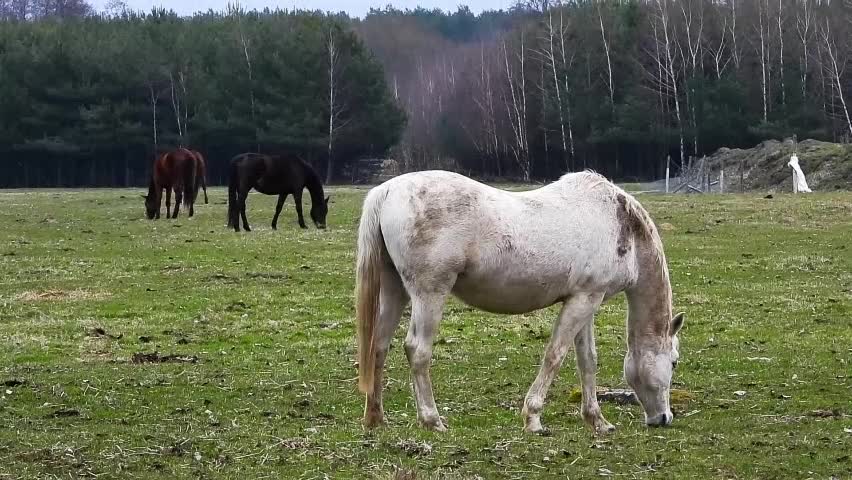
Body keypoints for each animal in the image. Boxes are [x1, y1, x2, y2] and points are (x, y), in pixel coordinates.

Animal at [354, 171, 684, 434]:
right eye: (674, 362)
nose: (663, 418)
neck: (619, 222)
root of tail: (387, 191)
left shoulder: (588, 300)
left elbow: (587, 360)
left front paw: (597, 421)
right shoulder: (582, 301)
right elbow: (554, 355)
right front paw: (533, 419)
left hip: (395, 290)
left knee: (378, 346)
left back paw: (375, 417)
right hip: (429, 294)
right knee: (417, 350)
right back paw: (432, 420)